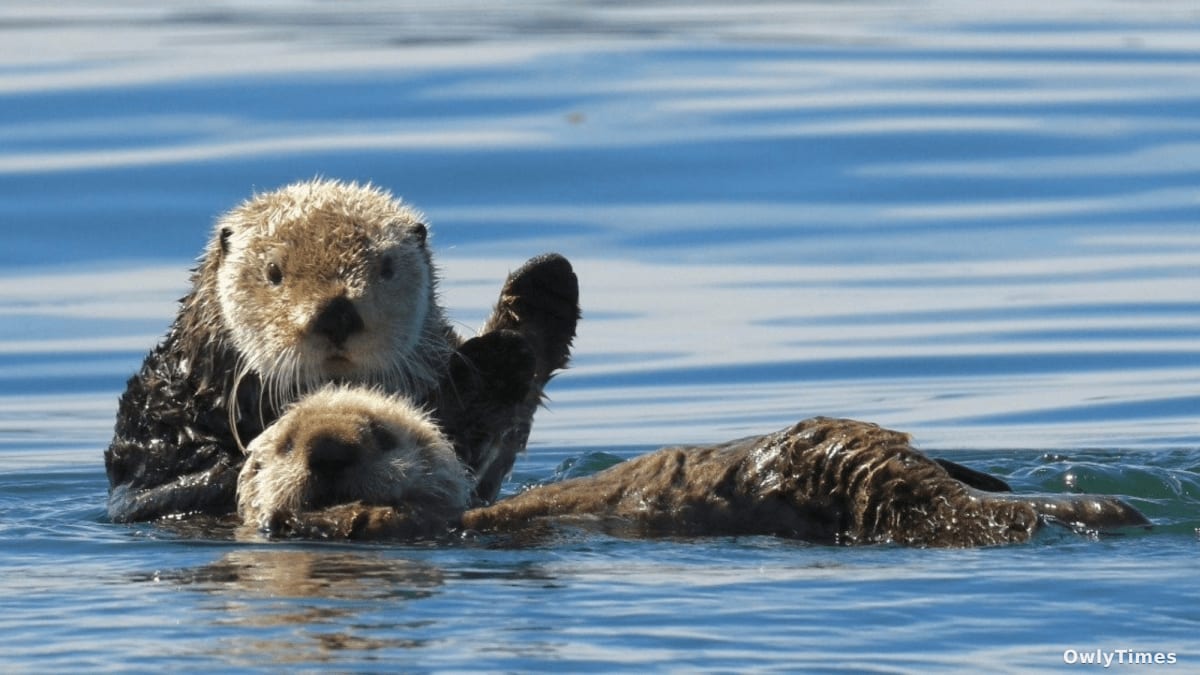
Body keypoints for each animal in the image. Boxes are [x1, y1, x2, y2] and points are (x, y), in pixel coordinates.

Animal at [105, 178, 579, 523]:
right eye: (273, 272)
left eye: (386, 268)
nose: (336, 314)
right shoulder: (154, 419)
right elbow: (154, 494)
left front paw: (513, 340)